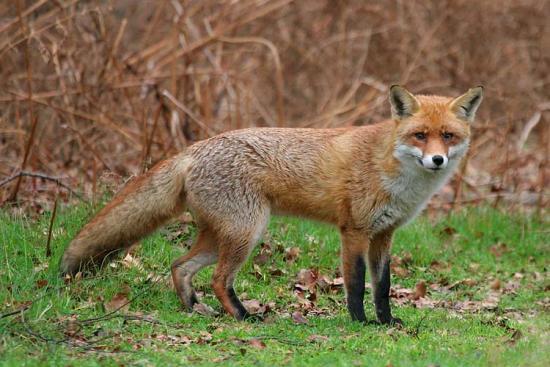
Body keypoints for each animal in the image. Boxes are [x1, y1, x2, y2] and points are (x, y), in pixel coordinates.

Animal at [61, 85, 484, 324]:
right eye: (420, 135)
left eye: (448, 136)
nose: (437, 160)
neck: (396, 174)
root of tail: (194, 148)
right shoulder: (354, 231)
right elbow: (356, 284)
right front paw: (360, 323)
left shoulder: (384, 235)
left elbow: (382, 287)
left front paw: (387, 323)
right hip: (248, 231)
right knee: (218, 279)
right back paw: (244, 317)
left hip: (222, 234)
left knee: (179, 266)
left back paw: (194, 309)